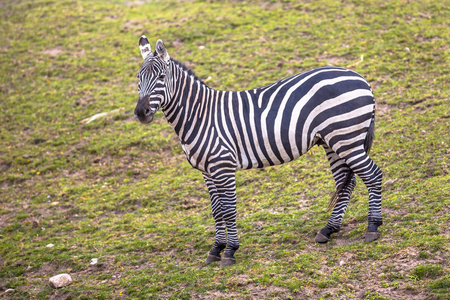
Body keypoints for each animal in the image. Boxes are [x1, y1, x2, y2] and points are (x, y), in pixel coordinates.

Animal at [134, 35, 384, 268]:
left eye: (161, 77)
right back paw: (328, 230)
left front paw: (229, 251)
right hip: (332, 142)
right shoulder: (206, 170)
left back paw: (372, 227)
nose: (140, 113)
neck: (199, 115)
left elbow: (228, 210)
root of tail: (360, 77)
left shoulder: (223, 166)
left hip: (346, 138)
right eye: (138, 79)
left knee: (373, 175)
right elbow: (216, 210)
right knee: (346, 183)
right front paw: (216, 249)